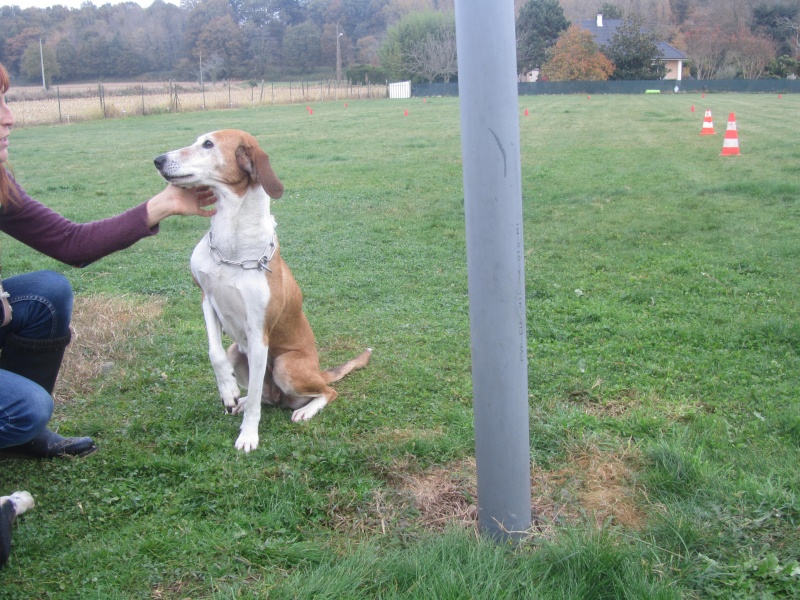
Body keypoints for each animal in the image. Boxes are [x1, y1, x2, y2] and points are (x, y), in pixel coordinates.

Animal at [155, 130, 372, 450]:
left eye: (208, 144)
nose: (158, 160)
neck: (232, 242)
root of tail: (319, 371)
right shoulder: (207, 299)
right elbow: (214, 352)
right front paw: (228, 390)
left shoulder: (259, 336)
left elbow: (258, 397)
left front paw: (248, 436)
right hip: (238, 351)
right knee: (266, 395)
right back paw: (241, 400)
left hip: (285, 365)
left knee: (324, 392)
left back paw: (305, 410)